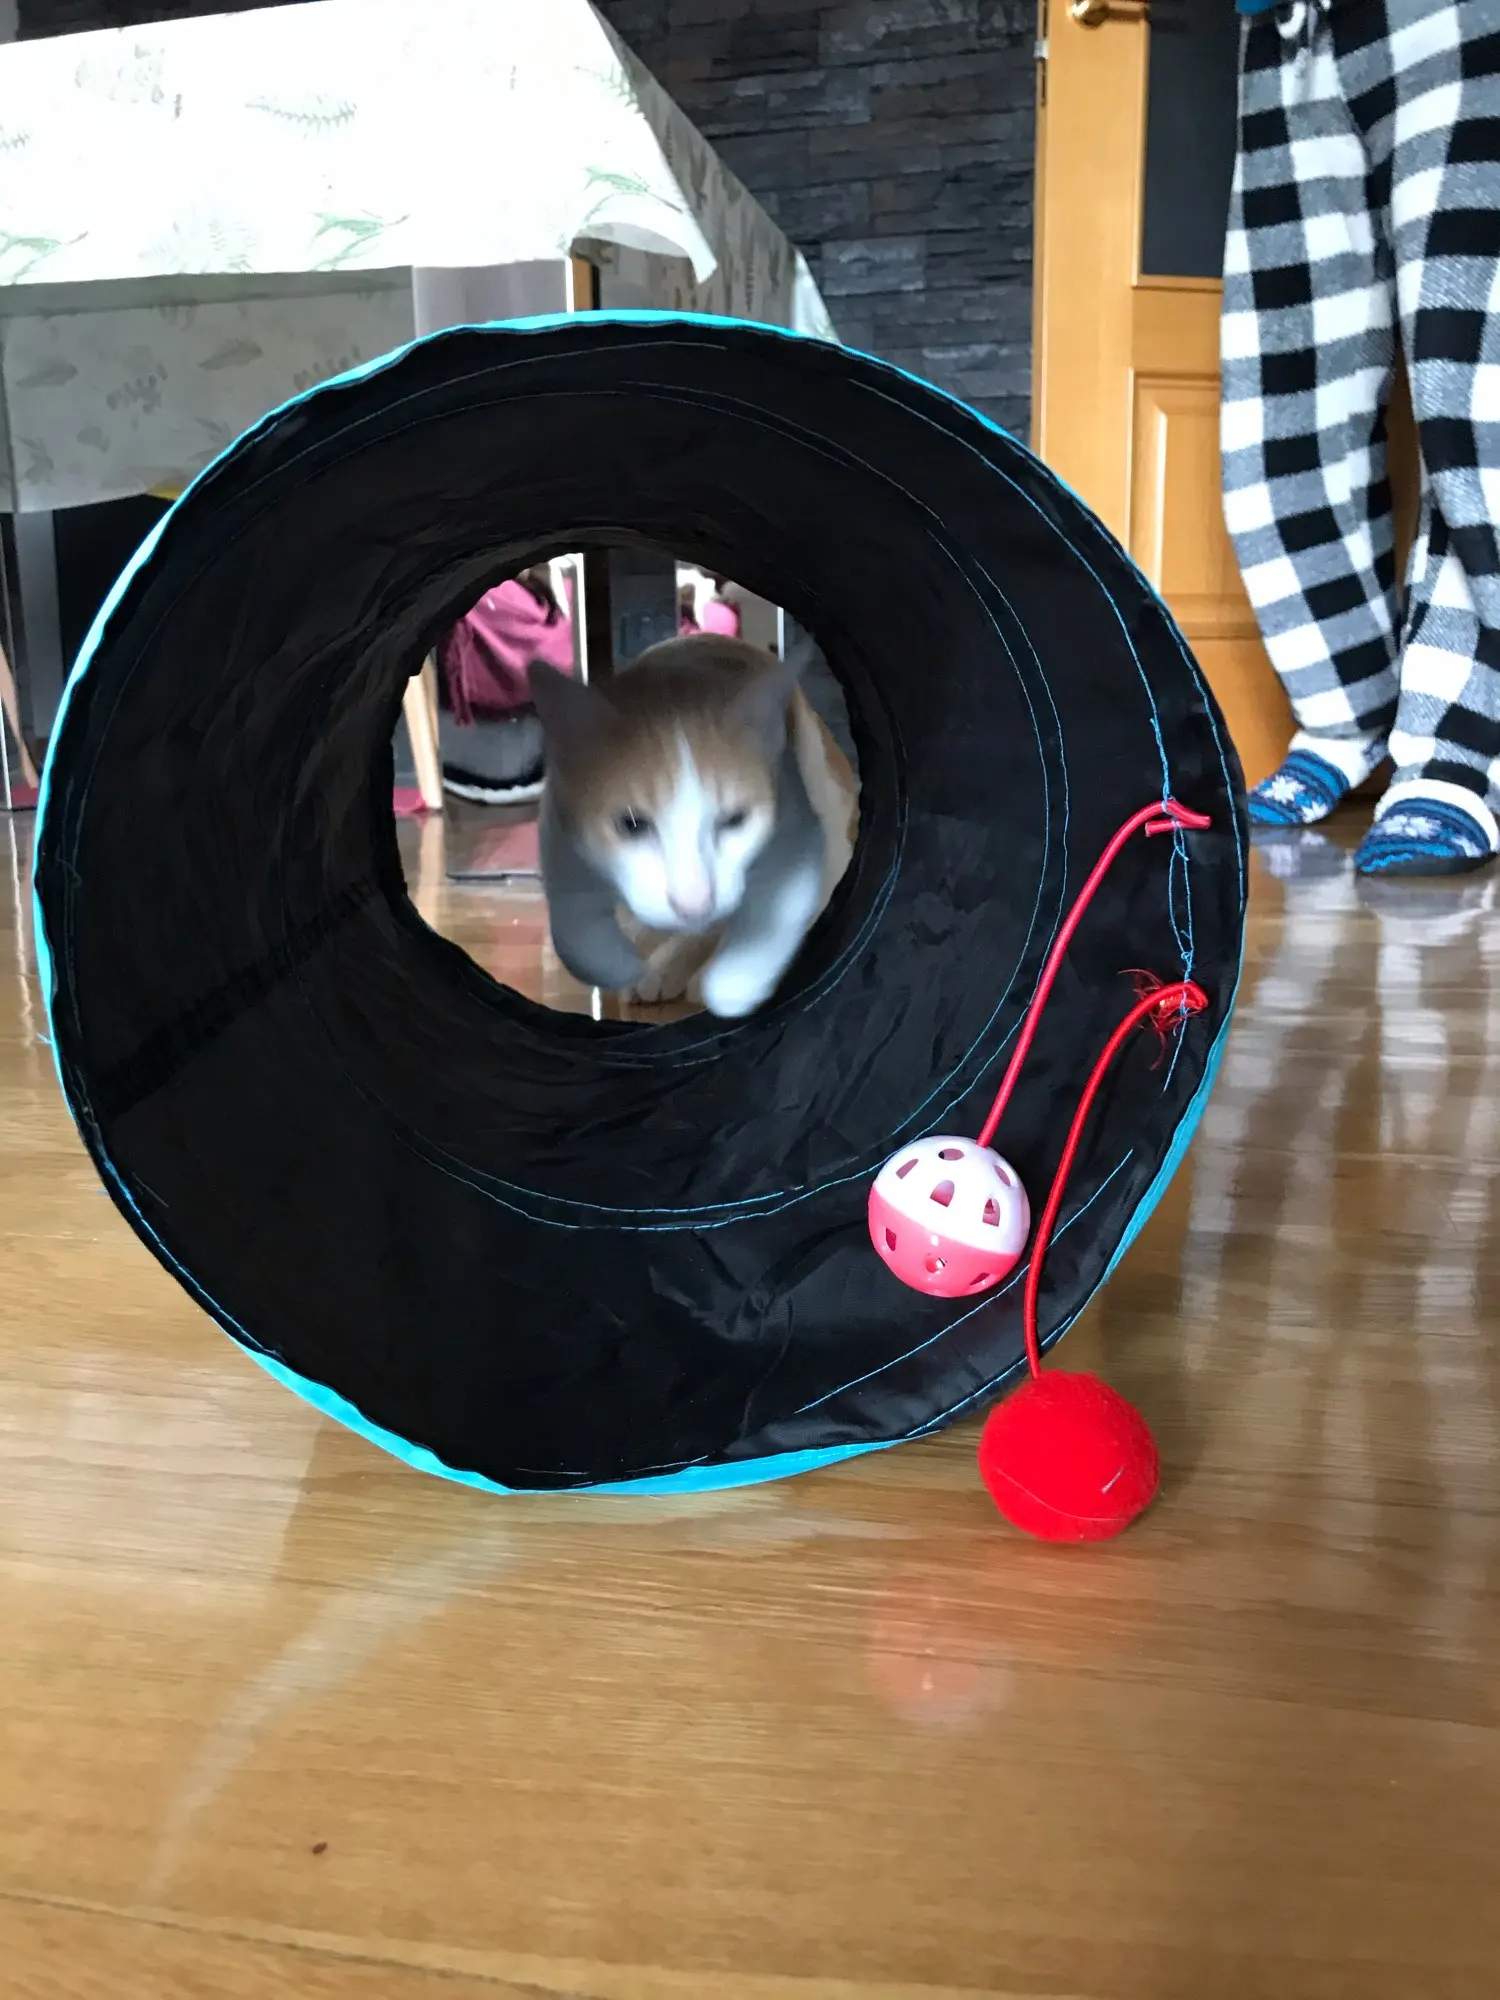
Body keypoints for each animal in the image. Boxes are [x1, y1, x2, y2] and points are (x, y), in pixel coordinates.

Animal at [530, 633, 857, 1018]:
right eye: (631, 825)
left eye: (734, 820)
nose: (693, 902)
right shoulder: (560, 830)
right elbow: (573, 925)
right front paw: (618, 964)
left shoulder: (794, 828)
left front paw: (730, 981)